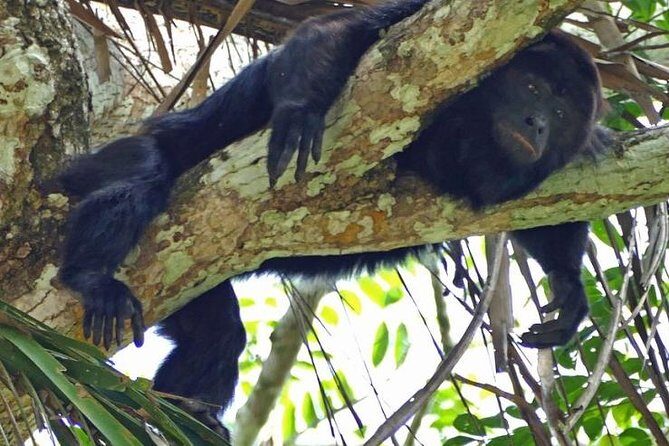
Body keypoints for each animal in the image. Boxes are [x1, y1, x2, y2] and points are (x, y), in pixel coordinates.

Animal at [56, 0, 609, 436]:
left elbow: (553, 205)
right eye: (532, 88)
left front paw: (569, 286)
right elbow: (335, 32)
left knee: (218, 335)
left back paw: (184, 414)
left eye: (562, 115)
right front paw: (301, 109)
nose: (537, 123)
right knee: (139, 179)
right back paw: (91, 277)